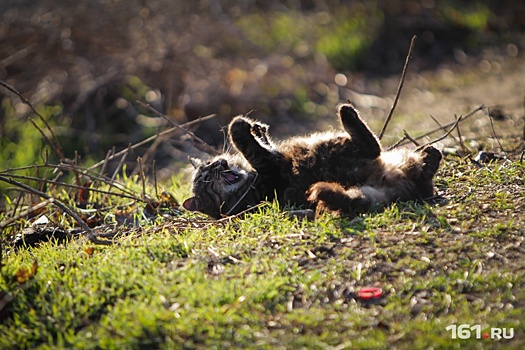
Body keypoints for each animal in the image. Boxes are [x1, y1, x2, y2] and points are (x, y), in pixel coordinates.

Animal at [182, 103, 440, 219]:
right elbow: (246, 142)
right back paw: (347, 112)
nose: (219, 164)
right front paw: (241, 125)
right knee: (371, 144)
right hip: (336, 148)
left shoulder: (270, 161)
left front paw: (259, 129)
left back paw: (430, 155)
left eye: (211, 164)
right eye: (206, 177)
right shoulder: (269, 169)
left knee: (425, 182)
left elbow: (261, 144)